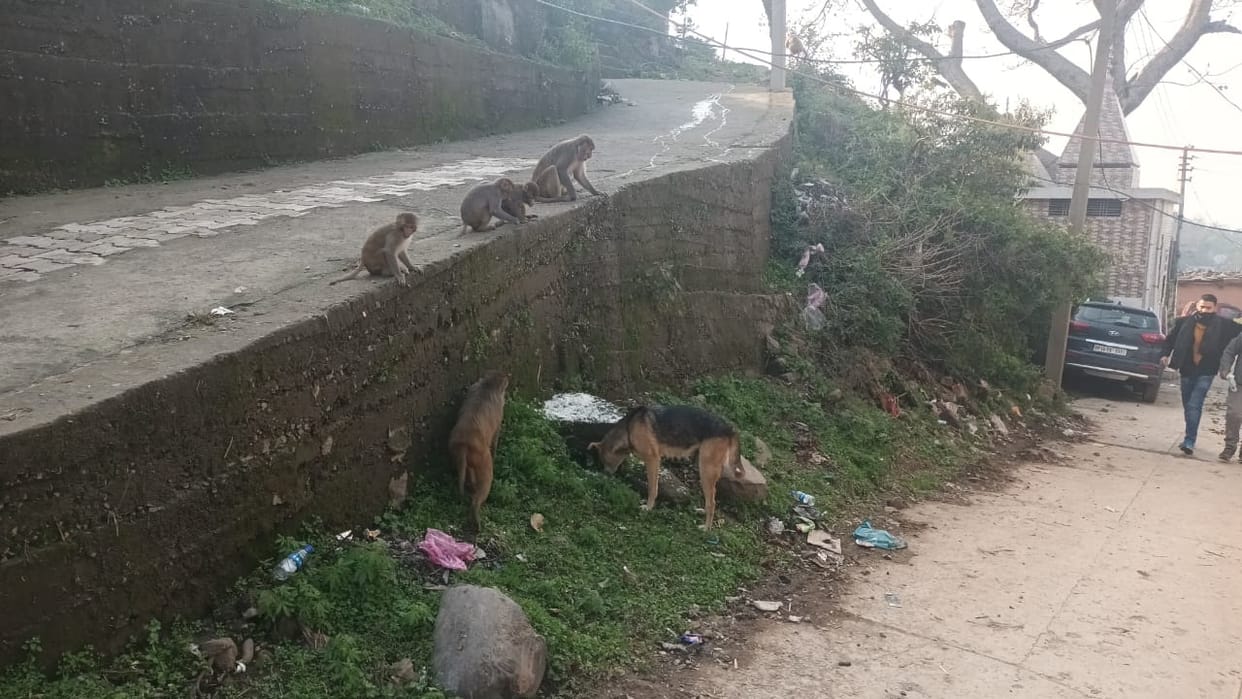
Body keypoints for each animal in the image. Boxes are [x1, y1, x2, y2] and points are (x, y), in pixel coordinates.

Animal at [447, 370, 511, 532]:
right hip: (482, 460)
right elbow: (495, 437)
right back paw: (475, 518)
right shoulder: (500, 408)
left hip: (457, 453)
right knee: (483, 486)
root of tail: (464, 444)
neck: (488, 386)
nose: (507, 376)